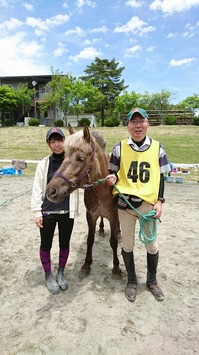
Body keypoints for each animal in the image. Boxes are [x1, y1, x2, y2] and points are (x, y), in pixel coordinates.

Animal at [46, 124, 121, 280]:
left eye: (80, 158)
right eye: (64, 156)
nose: (51, 191)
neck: (101, 190)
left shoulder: (114, 216)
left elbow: (113, 242)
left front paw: (116, 268)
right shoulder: (90, 215)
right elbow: (90, 240)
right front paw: (86, 265)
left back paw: (119, 232)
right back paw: (101, 229)